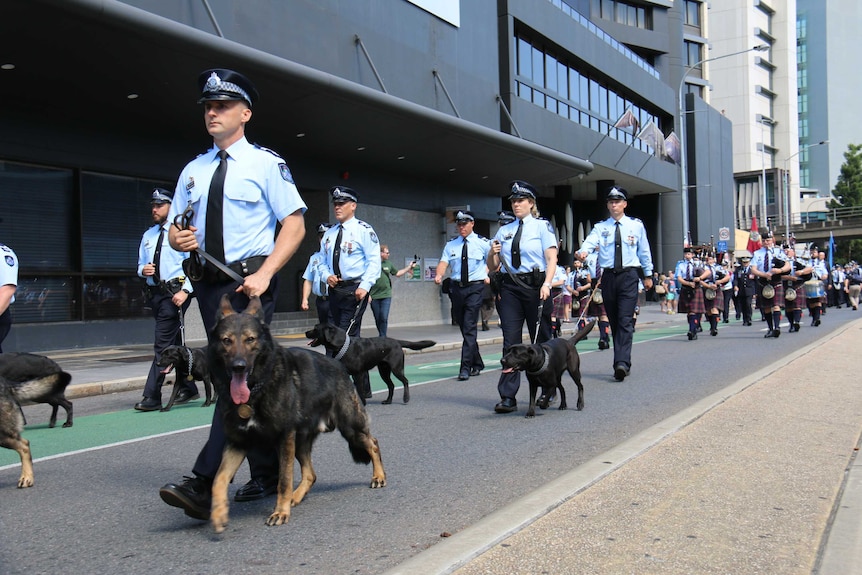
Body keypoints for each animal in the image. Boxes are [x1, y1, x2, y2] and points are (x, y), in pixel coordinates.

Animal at [209, 296, 384, 536]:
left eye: (250, 339)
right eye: (226, 340)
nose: (238, 367)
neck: (256, 389)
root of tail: (338, 364)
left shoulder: (284, 439)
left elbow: (284, 480)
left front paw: (280, 513)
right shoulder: (238, 442)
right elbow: (218, 479)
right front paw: (218, 513)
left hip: (350, 427)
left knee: (373, 443)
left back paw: (379, 476)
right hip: (300, 442)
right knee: (310, 474)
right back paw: (296, 496)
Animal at [306, 324, 438, 404]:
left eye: (315, 328)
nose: (306, 332)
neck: (343, 345)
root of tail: (396, 341)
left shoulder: (358, 374)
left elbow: (360, 391)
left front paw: (362, 404)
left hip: (396, 368)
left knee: (405, 381)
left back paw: (406, 398)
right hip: (383, 371)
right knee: (391, 385)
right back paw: (388, 401)